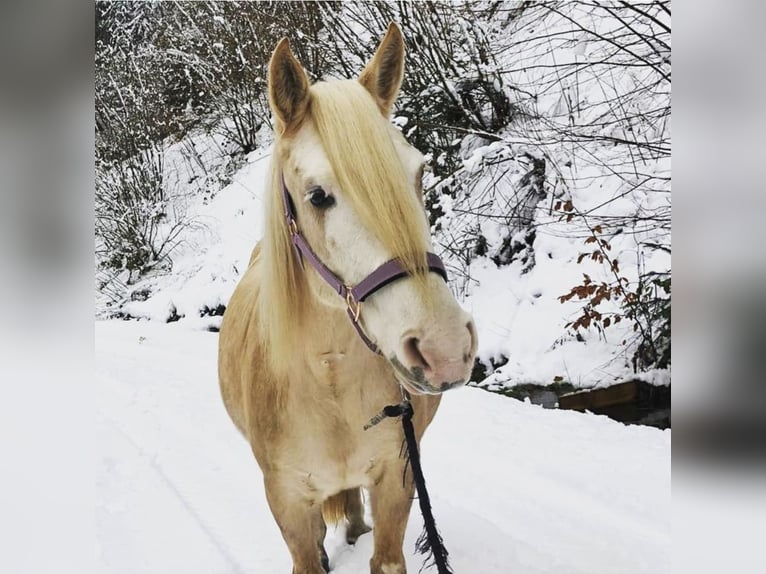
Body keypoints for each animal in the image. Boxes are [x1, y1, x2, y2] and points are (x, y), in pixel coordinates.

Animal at [218, 23, 477, 574]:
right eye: (318, 195)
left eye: (418, 172)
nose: (445, 349)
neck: (327, 380)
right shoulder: (287, 500)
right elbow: (307, 548)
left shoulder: (398, 481)